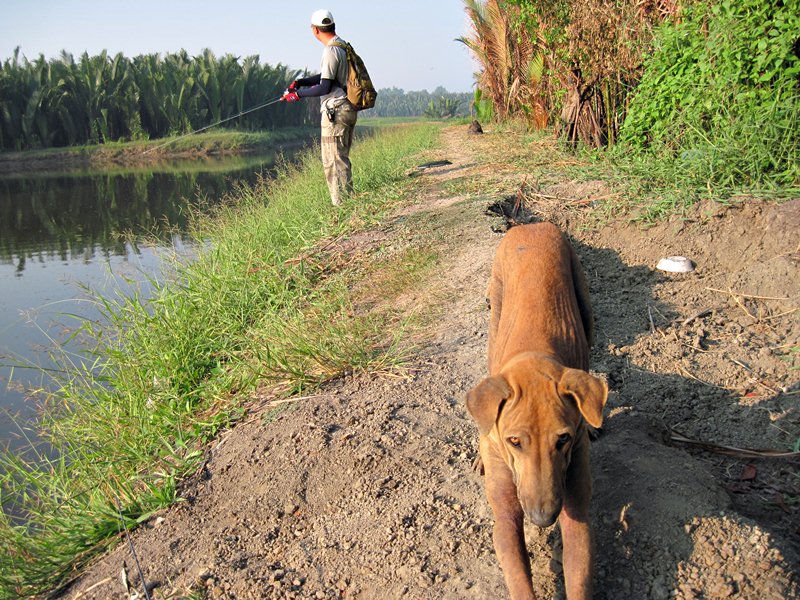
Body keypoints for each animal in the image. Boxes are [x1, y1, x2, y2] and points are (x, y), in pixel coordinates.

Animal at [462, 223, 608, 596]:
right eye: (514, 441)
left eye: (563, 439)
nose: (542, 519)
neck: (533, 356)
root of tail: (529, 225)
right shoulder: (506, 514)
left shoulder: (576, 508)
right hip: (495, 313)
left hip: (585, 308)